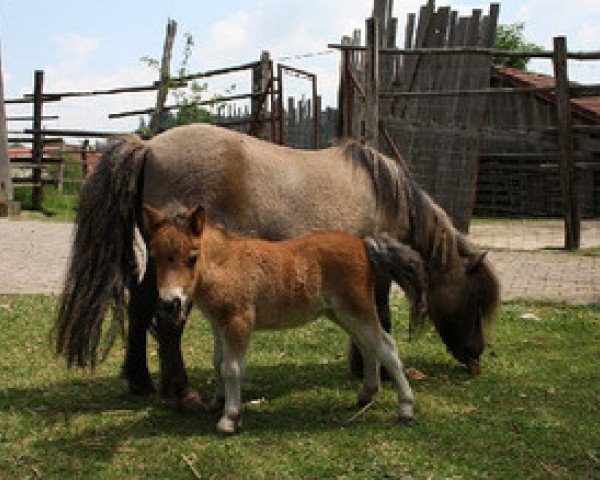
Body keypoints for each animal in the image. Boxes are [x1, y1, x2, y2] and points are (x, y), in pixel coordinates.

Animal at [56, 122, 500, 404]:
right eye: (475, 301)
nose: (477, 355)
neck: (382, 193)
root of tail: (149, 146)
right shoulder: (375, 271)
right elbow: (382, 318)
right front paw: (377, 371)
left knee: (141, 308)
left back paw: (141, 381)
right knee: (167, 321)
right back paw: (179, 391)